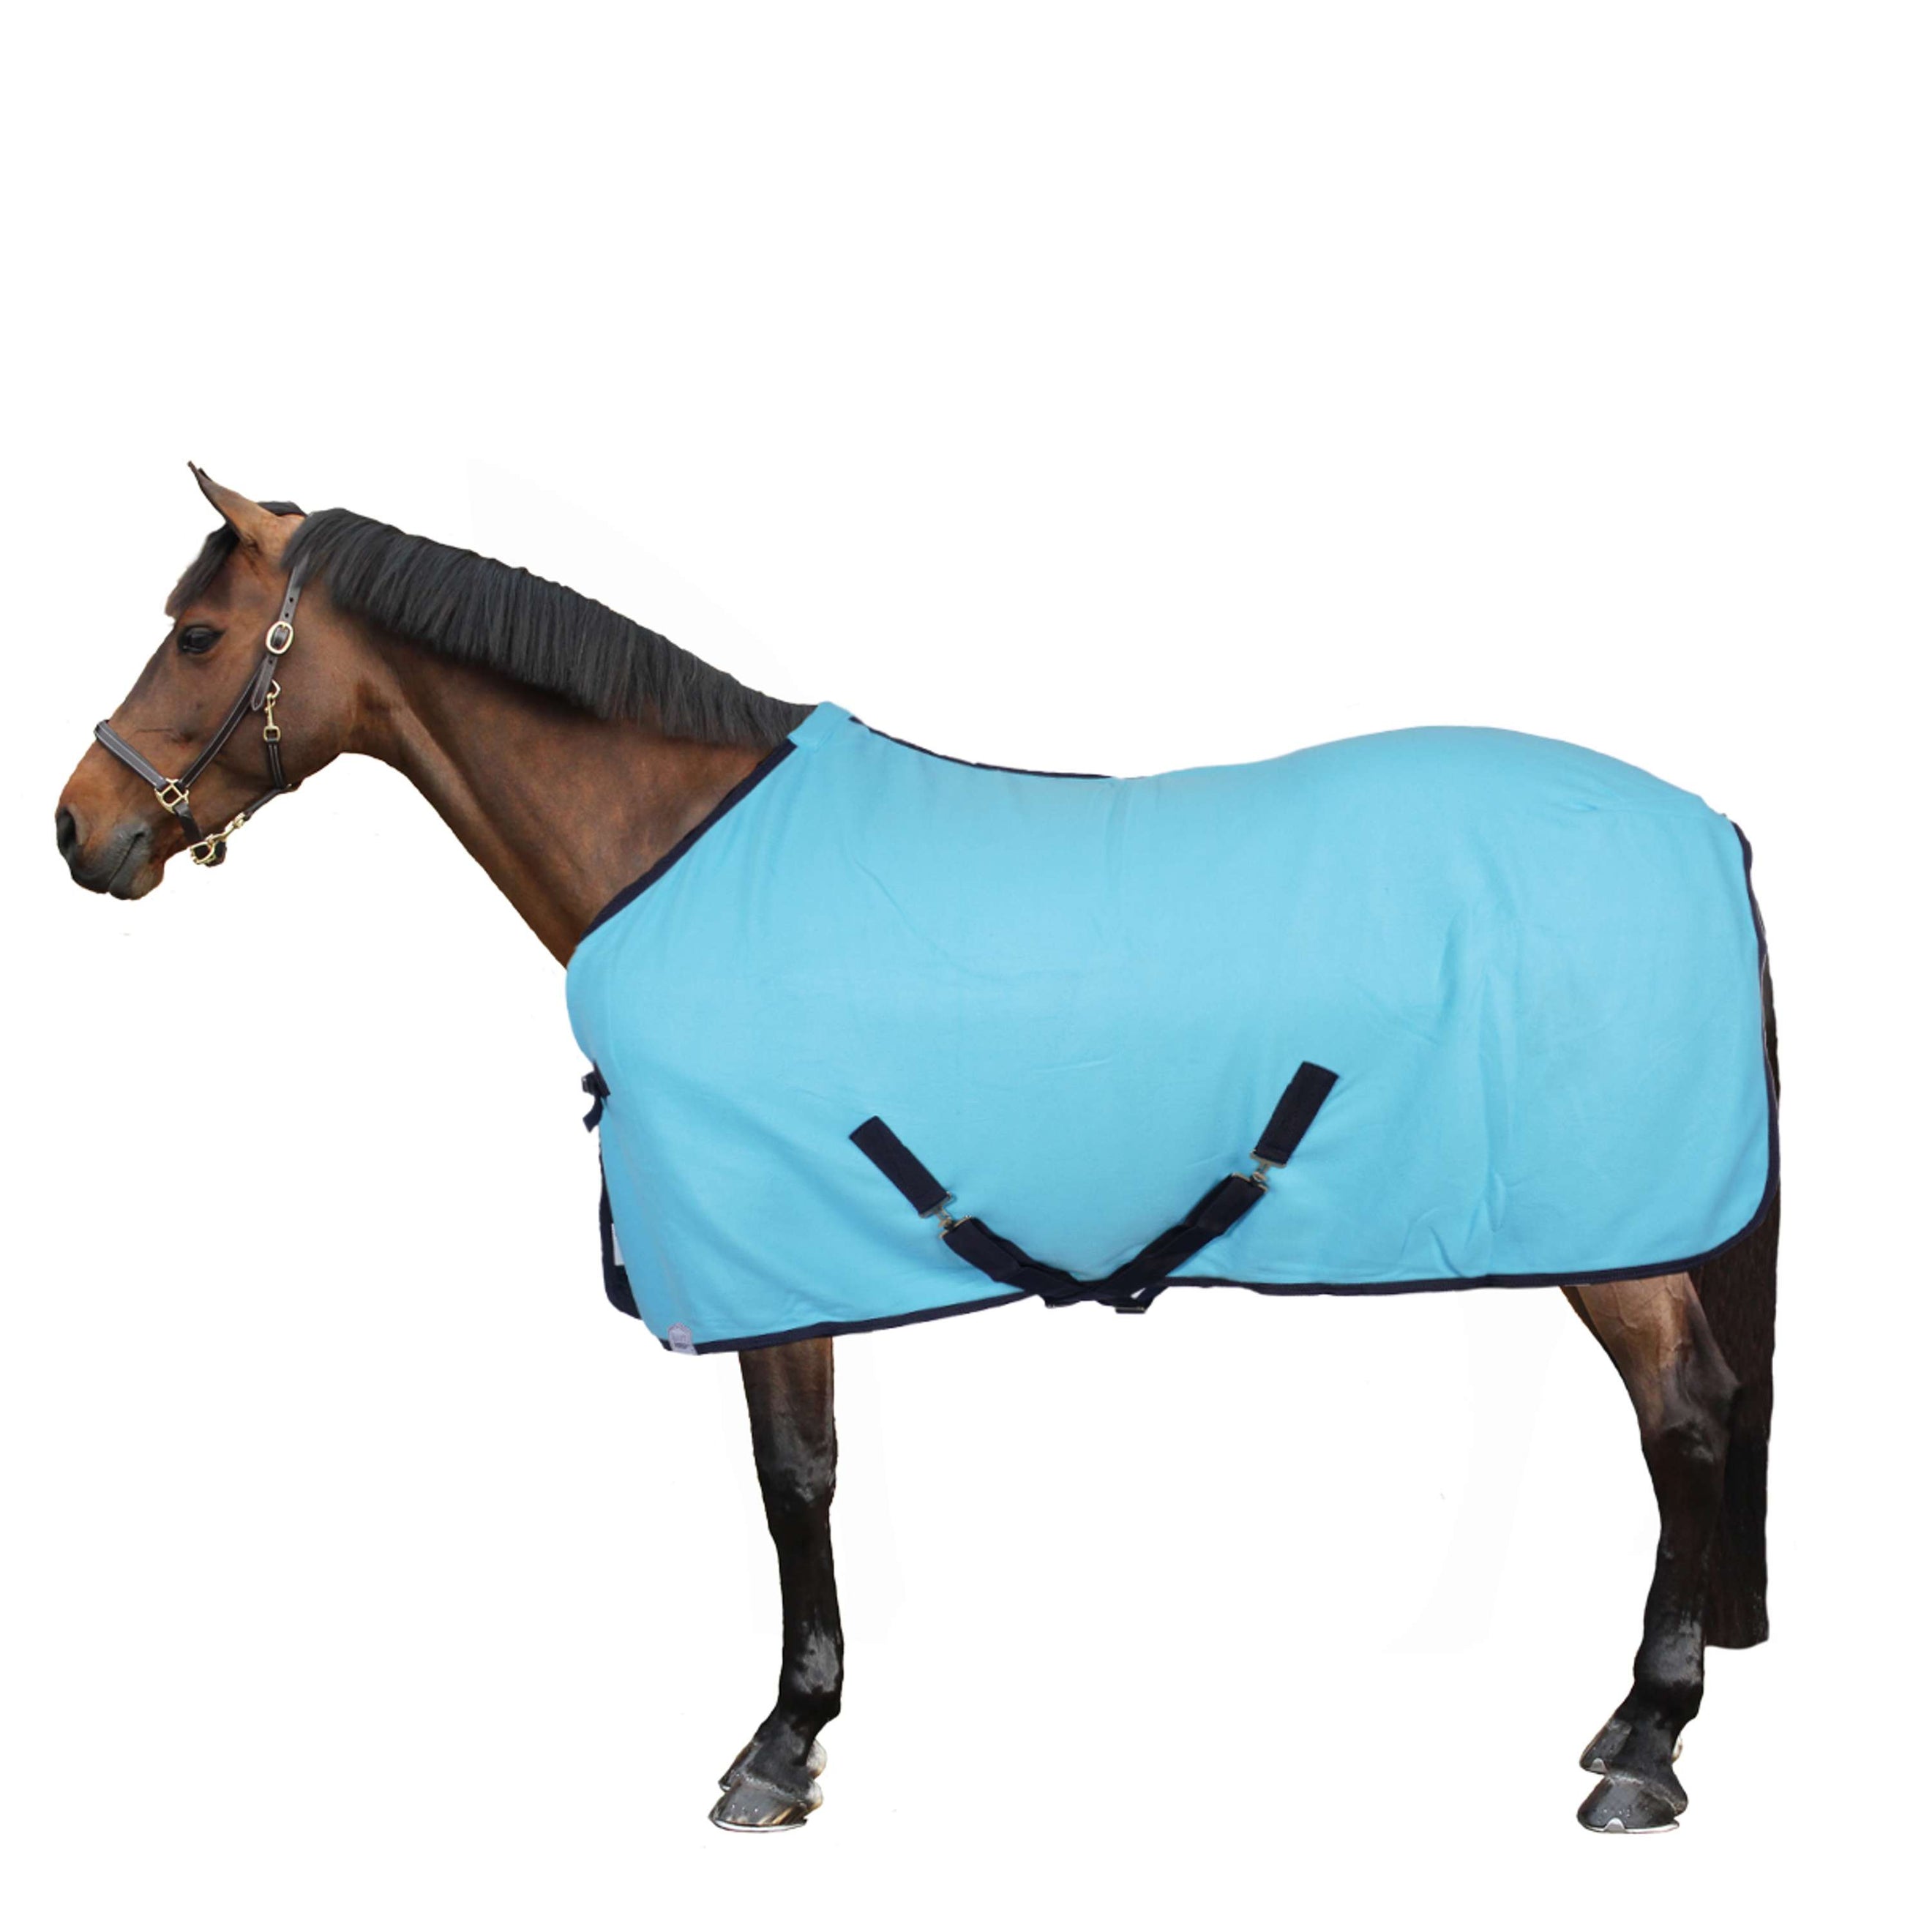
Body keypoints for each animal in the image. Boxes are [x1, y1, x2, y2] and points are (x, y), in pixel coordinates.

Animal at [56, 468, 1779, 1836]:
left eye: (199, 636)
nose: (80, 830)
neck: (676, 847)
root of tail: (1704, 824)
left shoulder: (769, 1251)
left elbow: (793, 1479)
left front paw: (781, 1745)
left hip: (1611, 1237)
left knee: (1688, 1415)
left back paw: (1647, 1750)